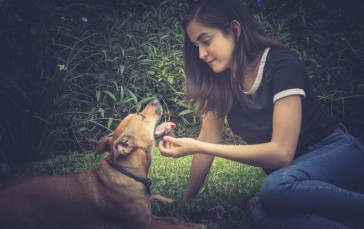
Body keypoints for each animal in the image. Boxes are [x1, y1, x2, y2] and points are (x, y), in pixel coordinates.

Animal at [0, 99, 205, 229]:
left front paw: (193, 223)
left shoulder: (151, 218)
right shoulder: (144, 225)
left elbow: (173, 220)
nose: (154, 99)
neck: (127, 172)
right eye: (141, 116)